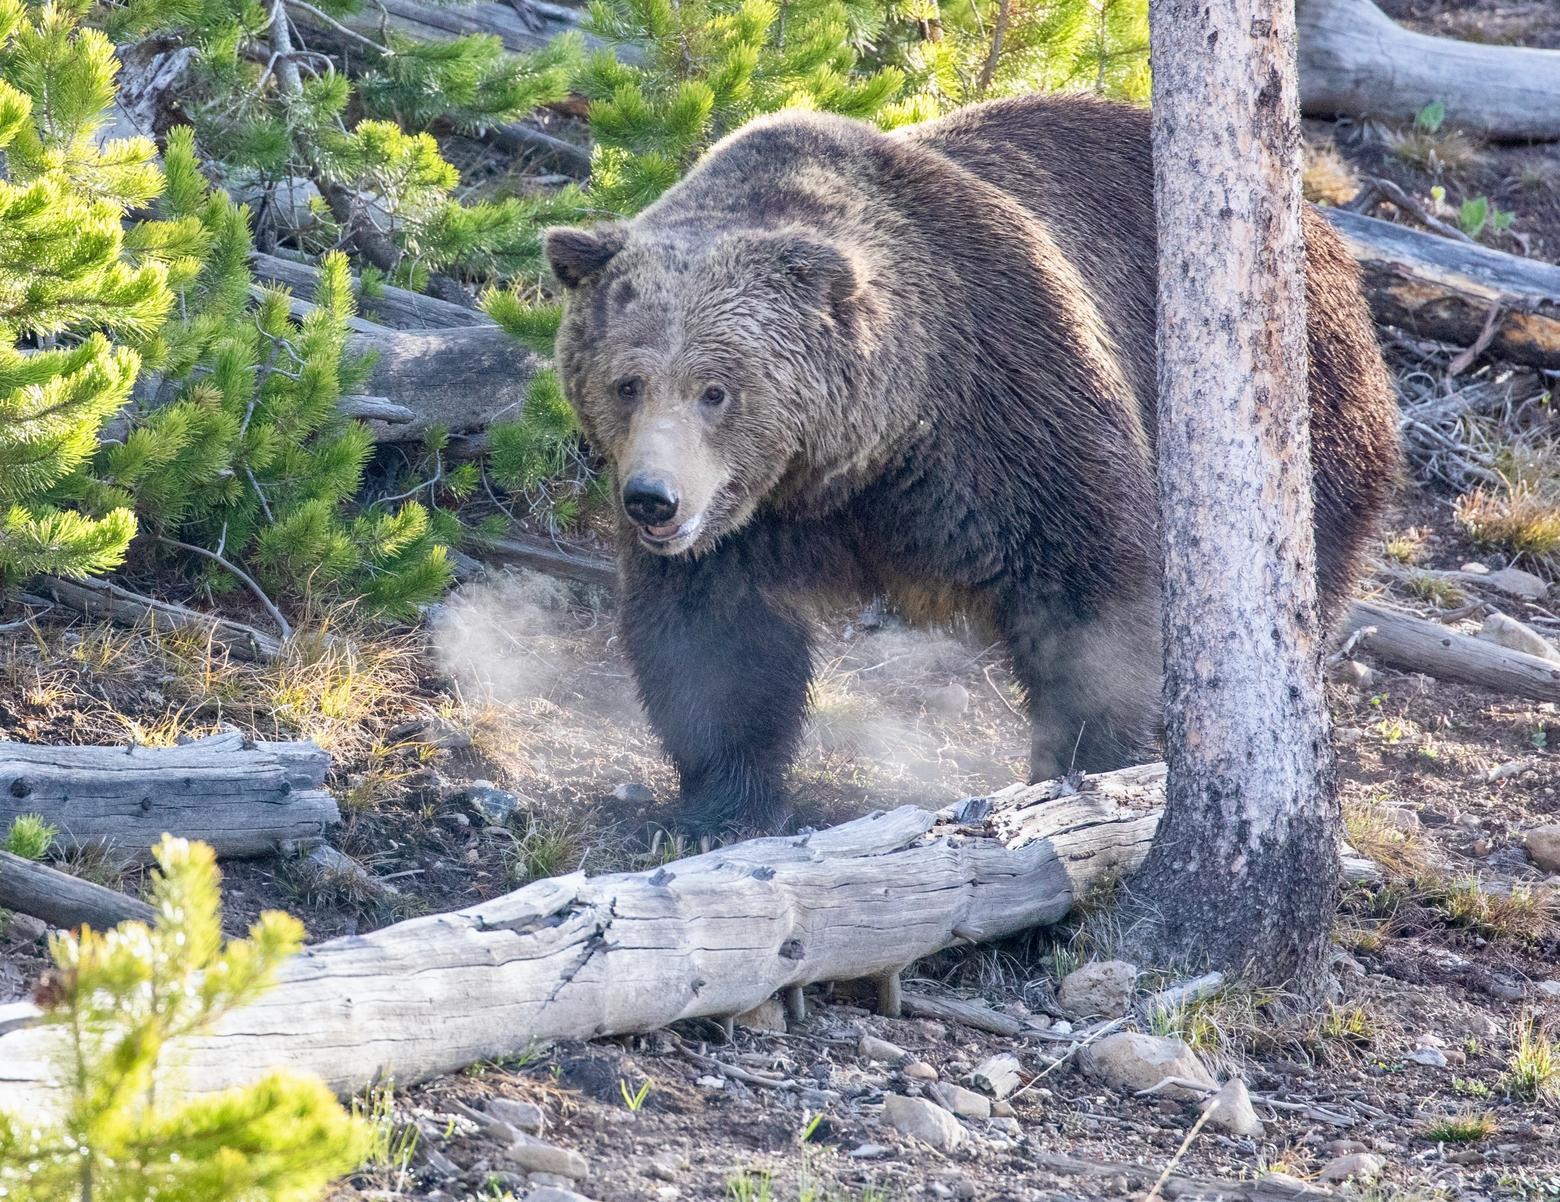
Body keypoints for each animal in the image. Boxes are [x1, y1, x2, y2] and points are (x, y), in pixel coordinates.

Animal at [542, 91, 1397, 835]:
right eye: (627, 382)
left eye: (715, 389)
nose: (653, 499)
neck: (866, 454)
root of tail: (1326, 234)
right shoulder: (749, 522)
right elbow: (714, 641)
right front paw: (720, 806)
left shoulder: (1008, 406)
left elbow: (1095, 593)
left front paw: (1083, 767)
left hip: (1311, 415)